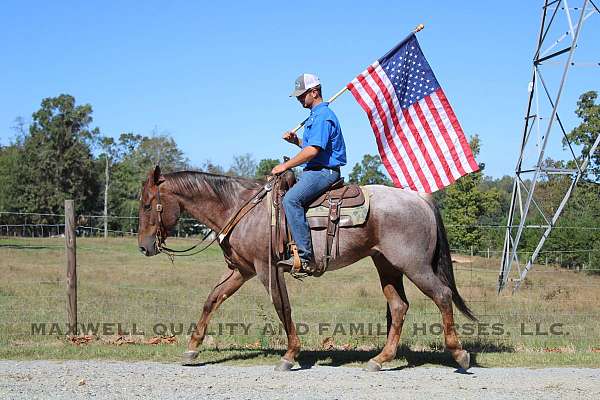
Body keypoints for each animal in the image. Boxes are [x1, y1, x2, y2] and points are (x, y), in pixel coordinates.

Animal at [138, 166, 476, 372]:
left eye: (147, 204)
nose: (144, 247)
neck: (241, 208)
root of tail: (420, 199)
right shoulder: (242, 270)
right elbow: (212, 299)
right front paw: (192, 349)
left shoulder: (267, 269)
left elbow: (282, 307)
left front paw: (290, 355)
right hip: (387, 264)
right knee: (399, 306)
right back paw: (380, 359)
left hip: (415, 266)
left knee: (442, 296)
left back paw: (459, 354)